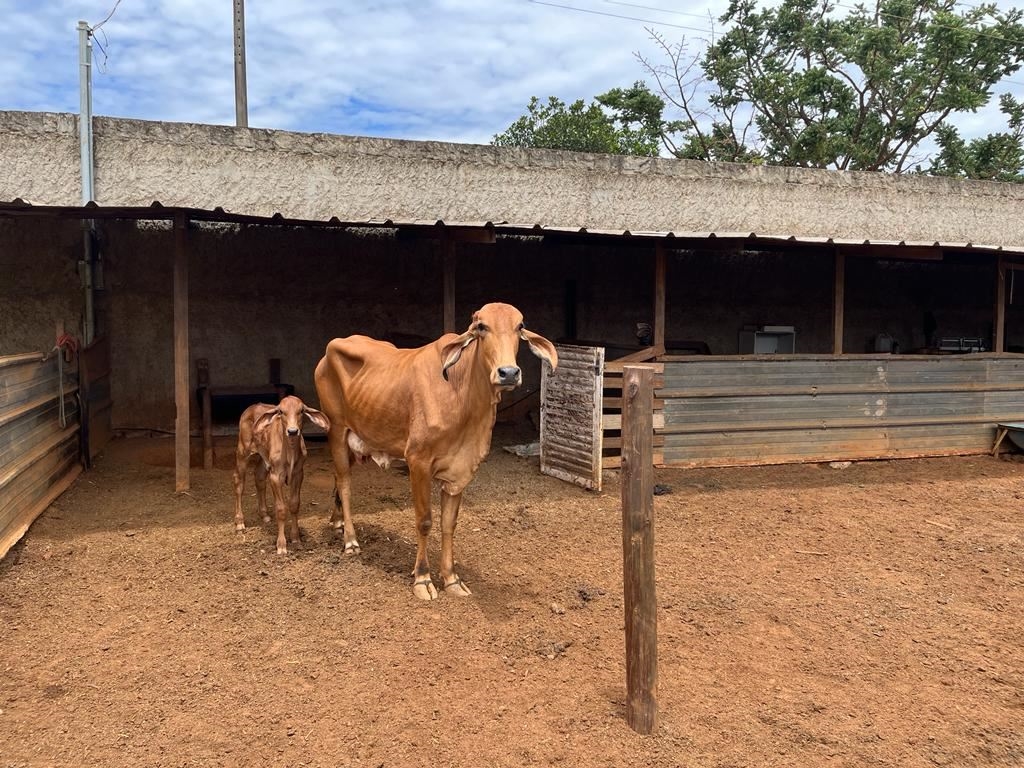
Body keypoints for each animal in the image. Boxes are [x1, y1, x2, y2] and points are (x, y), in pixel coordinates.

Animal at [233, 397, 329, 552]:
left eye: (301, 411)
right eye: (281, 411)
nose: (292, 431)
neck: (290, 451)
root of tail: (252, 407)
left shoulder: (298, 473)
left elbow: (294, 504)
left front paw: (295, 538)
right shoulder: (276, 476)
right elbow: (281, 508)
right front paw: (281, 545)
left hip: (264, 457)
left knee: (259, 477)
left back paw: (264, 515)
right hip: (243, 451)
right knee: (238, 482)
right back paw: (240, 522)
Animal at [315, 303, 561, 602]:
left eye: (520, 326)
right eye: (481, 327)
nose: (509, 373)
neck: (462, 396)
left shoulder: (459, 471)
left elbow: (448, 524)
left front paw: (452, 579)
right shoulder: (418, 462)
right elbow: (425, 521)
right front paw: (422, 578)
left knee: (337, 480)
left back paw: (337, 522)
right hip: (336, 430)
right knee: (345, 483)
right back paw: (350, 540)